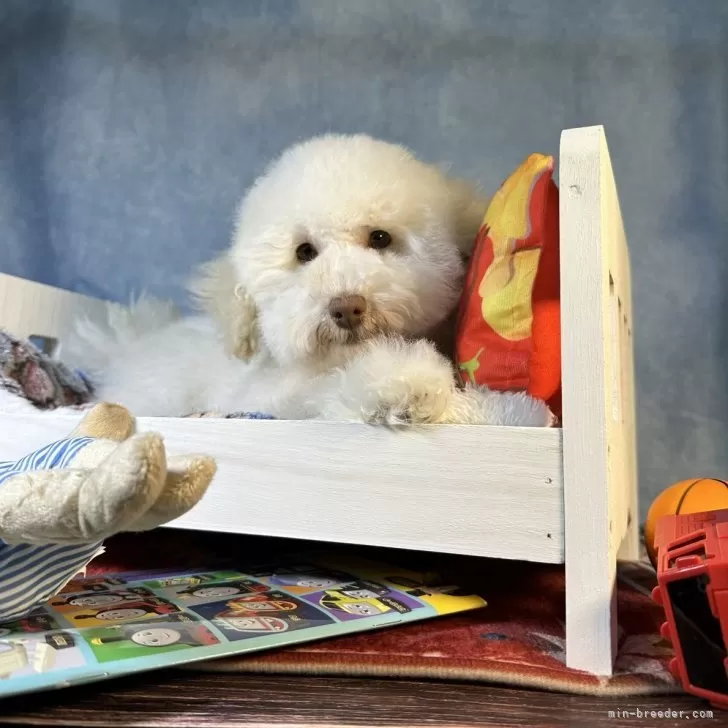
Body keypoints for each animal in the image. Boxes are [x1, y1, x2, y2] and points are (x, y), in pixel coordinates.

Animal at [72, 135, 552, 426]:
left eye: (380, 237)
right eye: (304, 252)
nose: (346, 307)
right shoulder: (268, 400)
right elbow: (331, 391)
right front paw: (404, 383)